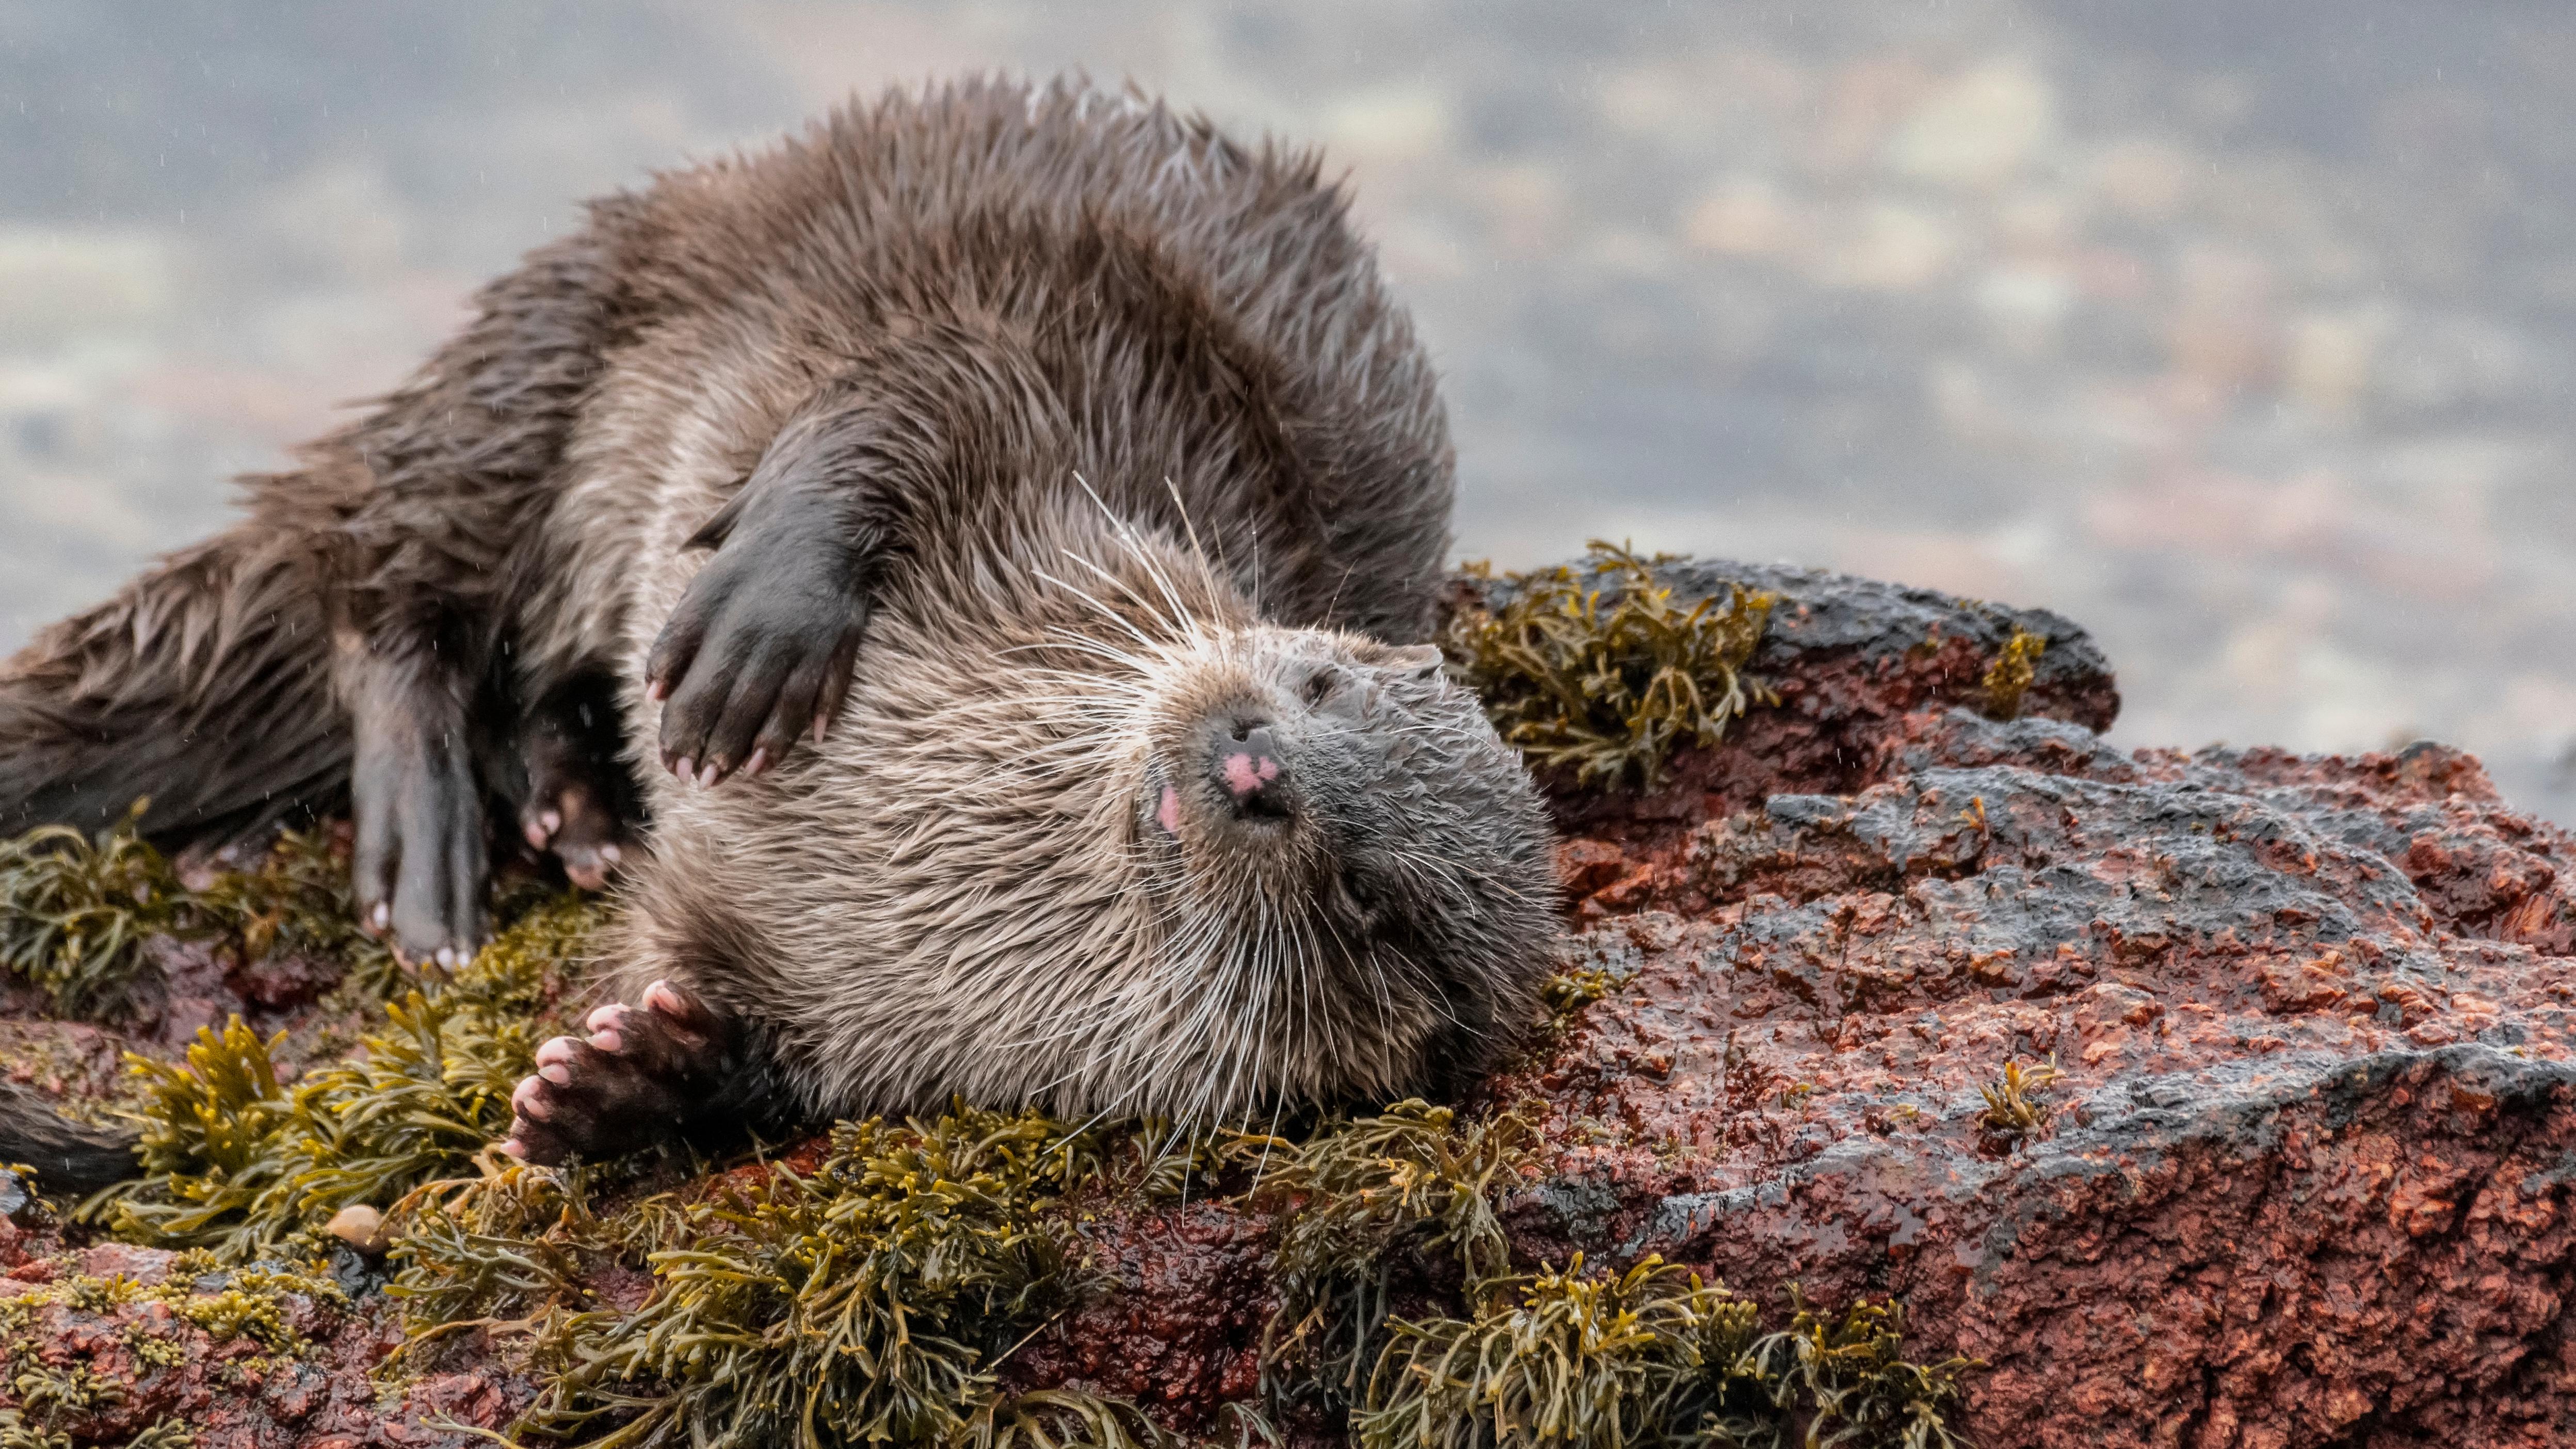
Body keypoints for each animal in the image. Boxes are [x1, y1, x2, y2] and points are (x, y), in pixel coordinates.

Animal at [0, 79, 1558, 1182]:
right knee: (388, 570)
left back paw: (563, 815)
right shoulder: (1057, 424)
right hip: (564, 333)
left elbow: (752, 1043)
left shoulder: (860, 1015)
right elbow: (911, 397)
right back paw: (428, 843)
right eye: (1318, 675)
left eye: (1371, 899)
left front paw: (624, 1083)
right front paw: (758, 634)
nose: (1250, 760)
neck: (920, 834)